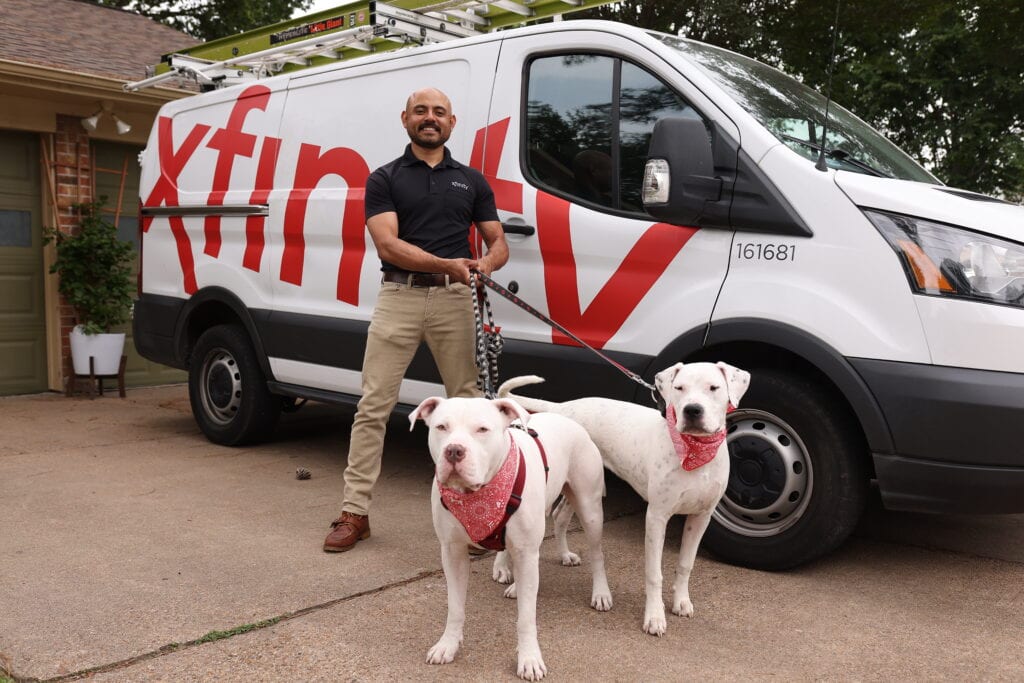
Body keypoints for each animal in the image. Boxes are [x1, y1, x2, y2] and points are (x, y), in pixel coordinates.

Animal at [409, 395, 614, 679]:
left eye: (482, 429)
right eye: (441, 427)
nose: (454, 450)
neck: (478, 496)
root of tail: (563, 415)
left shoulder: (527, 549)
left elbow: (526, 618)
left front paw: (529, 659)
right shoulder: (452, 552)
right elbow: (455, 607)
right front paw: (447, 645)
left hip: (589, 508)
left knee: (596, 553)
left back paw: (600, 592)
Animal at [499, 362, 749, 634]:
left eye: (713, 388)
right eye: (679, 388)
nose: (692, 410)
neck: (695, 452)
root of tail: (562, 408)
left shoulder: (701, 517)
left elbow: (686, 564)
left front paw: (681, 601)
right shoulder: (656, 518)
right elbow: (654, 574)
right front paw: (654, 616)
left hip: (578, 489)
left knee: (560, 515)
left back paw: (564, 555)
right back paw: (504, 571)